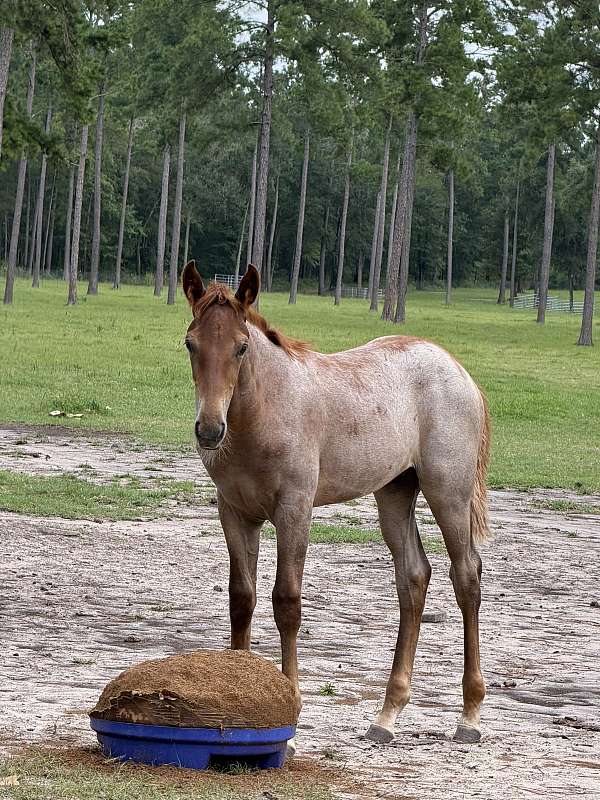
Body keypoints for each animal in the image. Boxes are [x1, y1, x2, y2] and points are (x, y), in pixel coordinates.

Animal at [182, 261, 491, 746]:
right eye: (191, 343)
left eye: (241, 347)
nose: (210, 429)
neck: (263, 412)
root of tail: (457, 369)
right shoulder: (235, 512)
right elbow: (241, 599)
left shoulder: (294, 509)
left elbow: (286, 601)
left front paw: (292, 703)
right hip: (394, 492)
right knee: (414, 577)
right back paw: (386, 715)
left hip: (449, 493)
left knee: (466, 578)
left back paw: (469, 716)